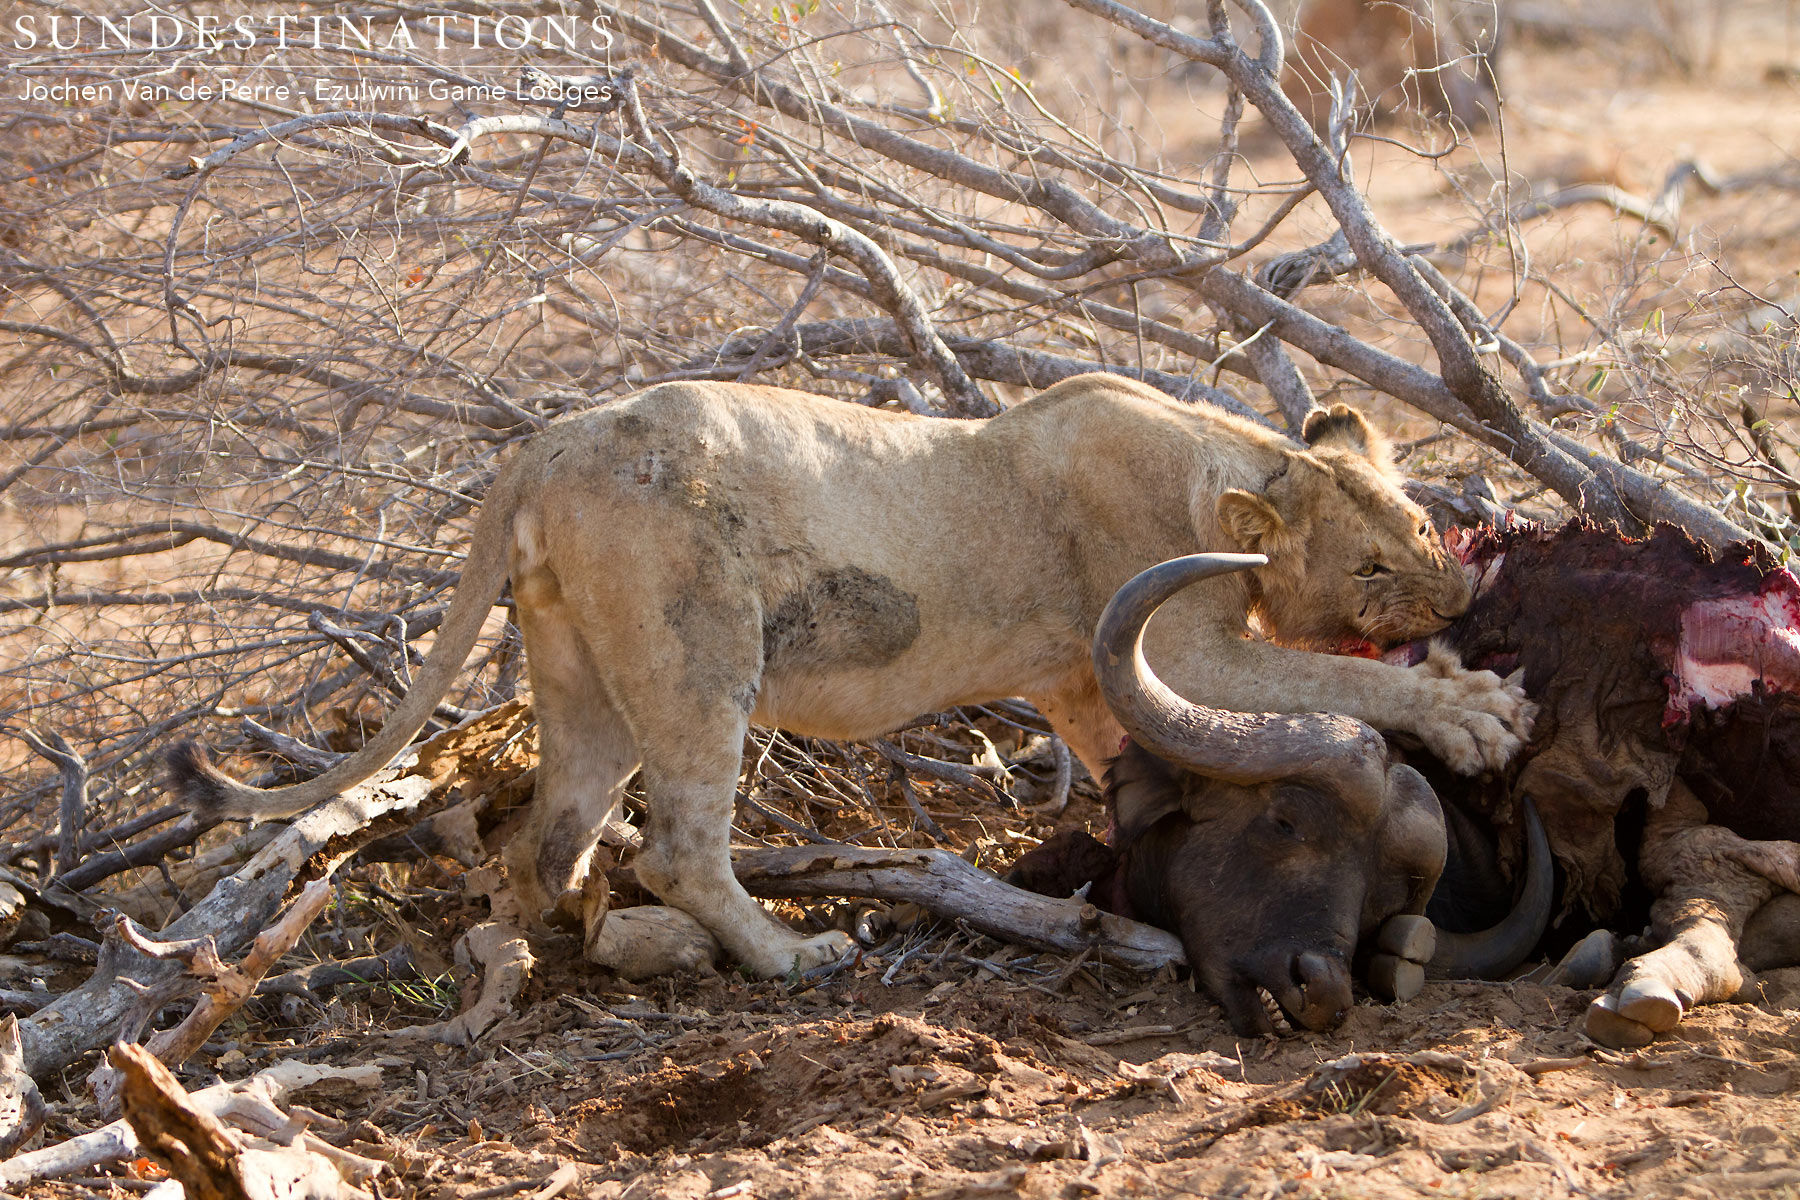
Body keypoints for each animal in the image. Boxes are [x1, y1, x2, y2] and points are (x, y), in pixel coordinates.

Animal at [172, 373, 1531, 979]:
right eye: (1372, 563)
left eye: (1422, 521)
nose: (1460, 595)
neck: (1231, 465)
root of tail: (541, 444)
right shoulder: (1180, 634)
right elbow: (1342, 687)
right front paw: (1475, 711)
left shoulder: (1082, 678)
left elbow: (1141, 757)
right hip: (698, 653)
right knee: (679, 847)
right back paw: (790, 956)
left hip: (577, 667)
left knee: (549, 837)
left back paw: (535, 949)